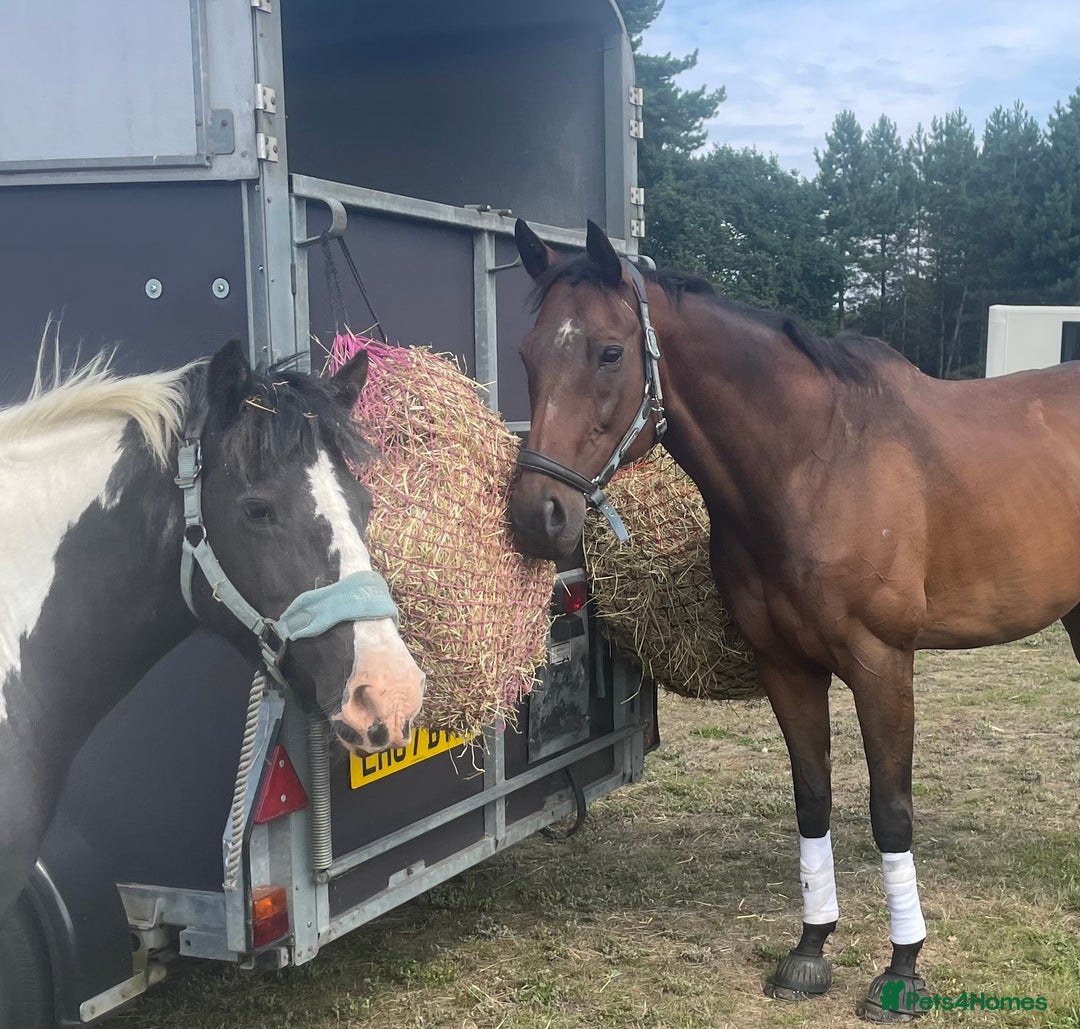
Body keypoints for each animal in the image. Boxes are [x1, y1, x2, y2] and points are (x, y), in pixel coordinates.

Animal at [507, 219, 1080, 1021]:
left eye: (610, 351)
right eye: (527, 354)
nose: (537, 517)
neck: (816, 459)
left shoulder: (881, 663)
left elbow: (890, 810)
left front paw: (902, 967)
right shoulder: (787, 666)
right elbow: (813, 800)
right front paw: (810, 948)